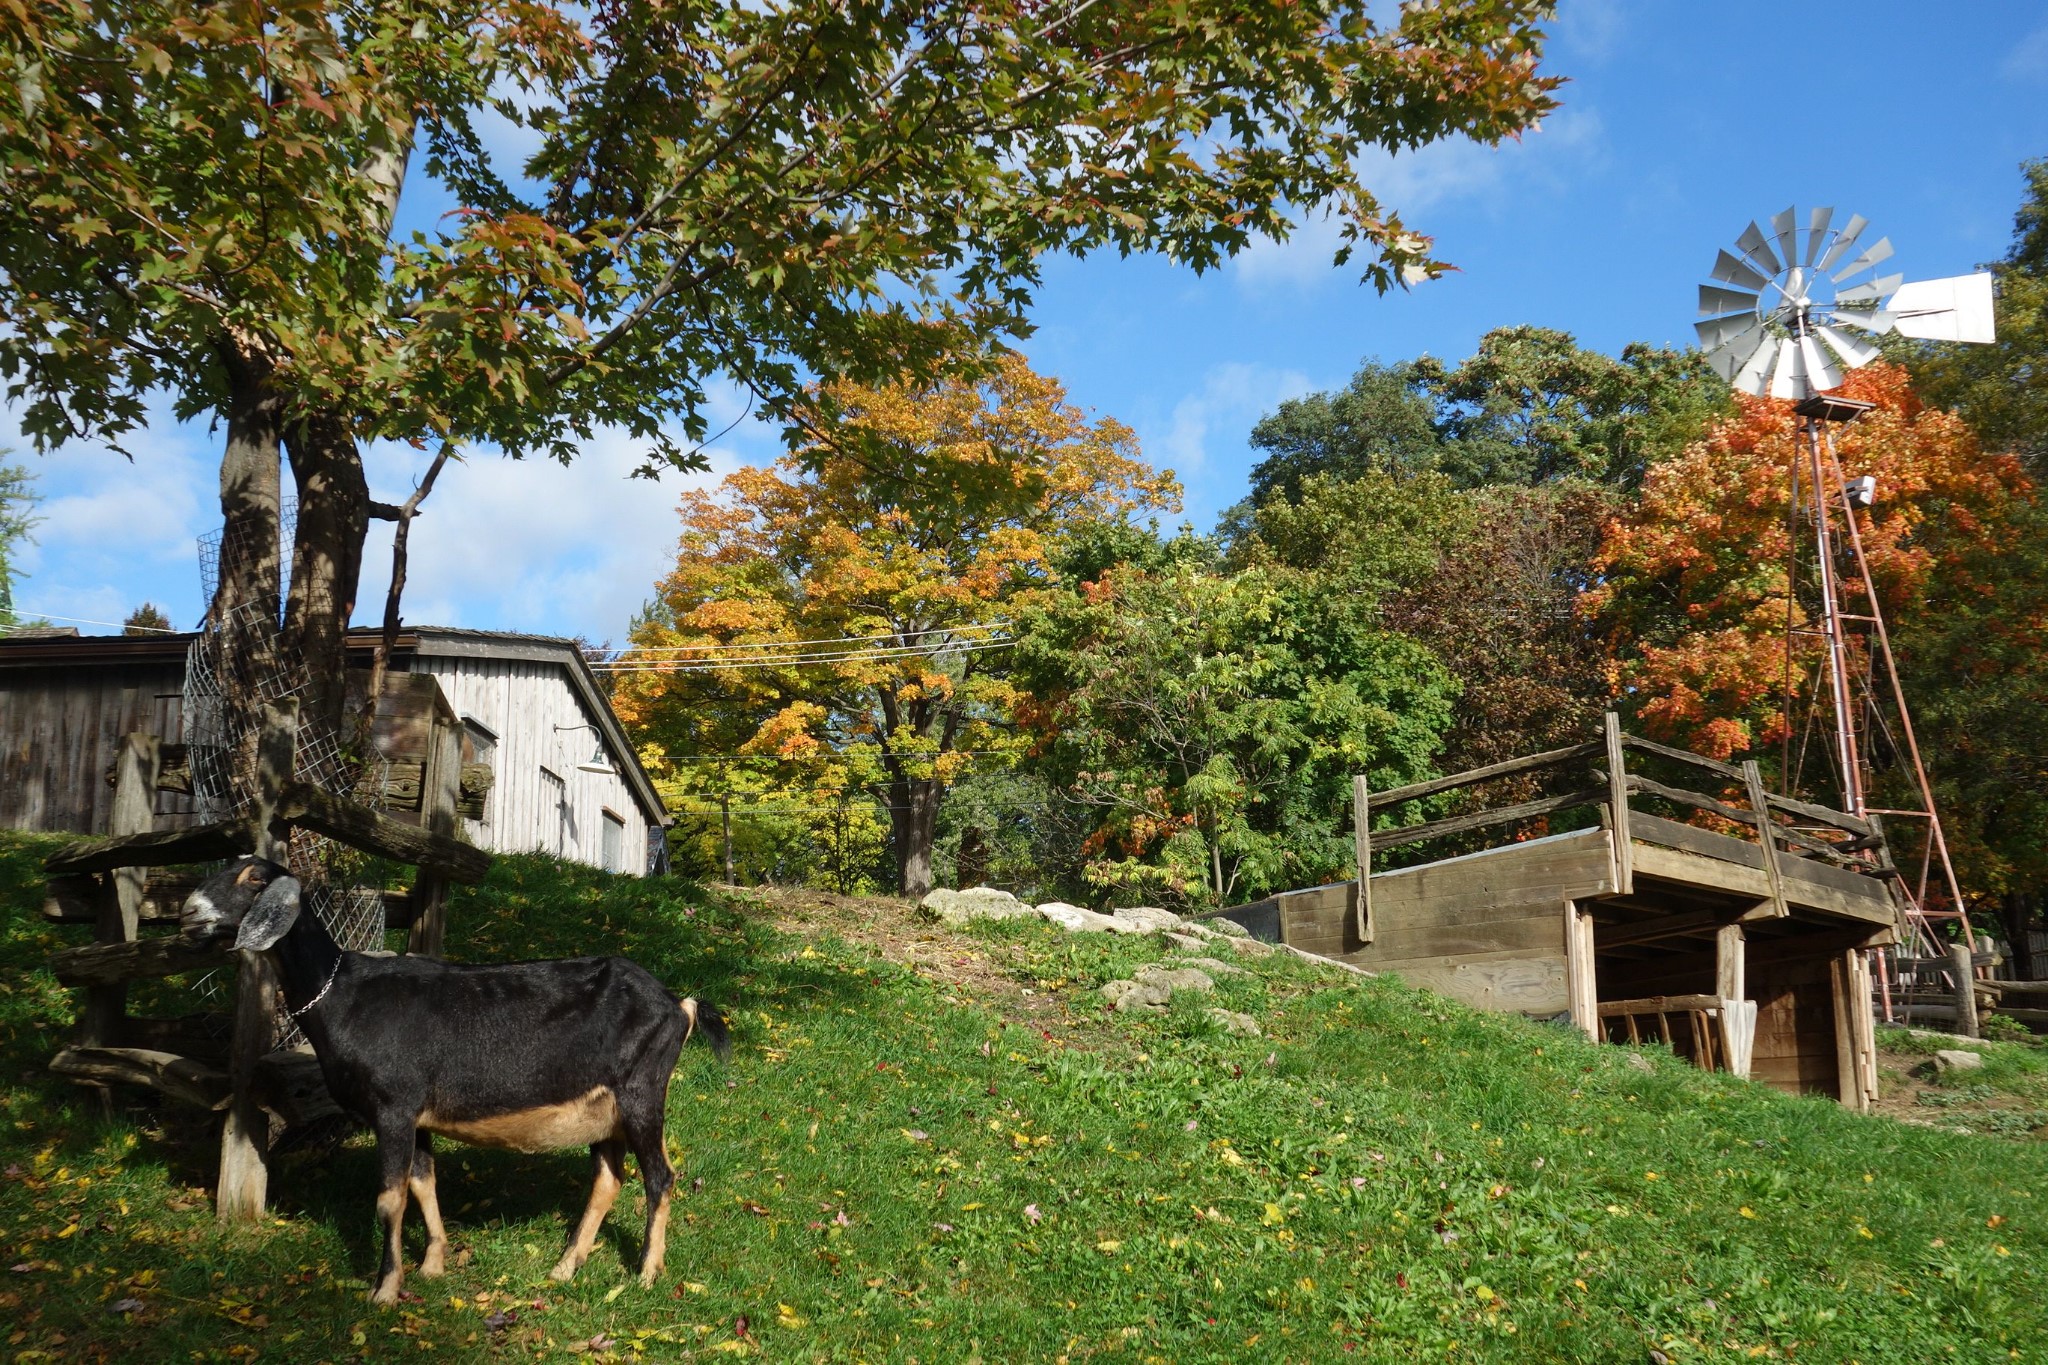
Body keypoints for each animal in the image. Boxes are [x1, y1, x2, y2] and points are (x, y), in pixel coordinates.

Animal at [184, 859, 729, 1309]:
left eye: (253, 878)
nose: (189, 913)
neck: (341, 994)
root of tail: (679, 1004)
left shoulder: (393, 1108)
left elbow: (390, 1199)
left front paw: (384, 1290)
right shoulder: (417, 1116)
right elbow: (424, 1183)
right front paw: (432, 1265)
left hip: (642, 1094)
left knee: (661, 1177)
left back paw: (647, 1273)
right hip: (603, 1111)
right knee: (609, 1178)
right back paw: (564, 1268)